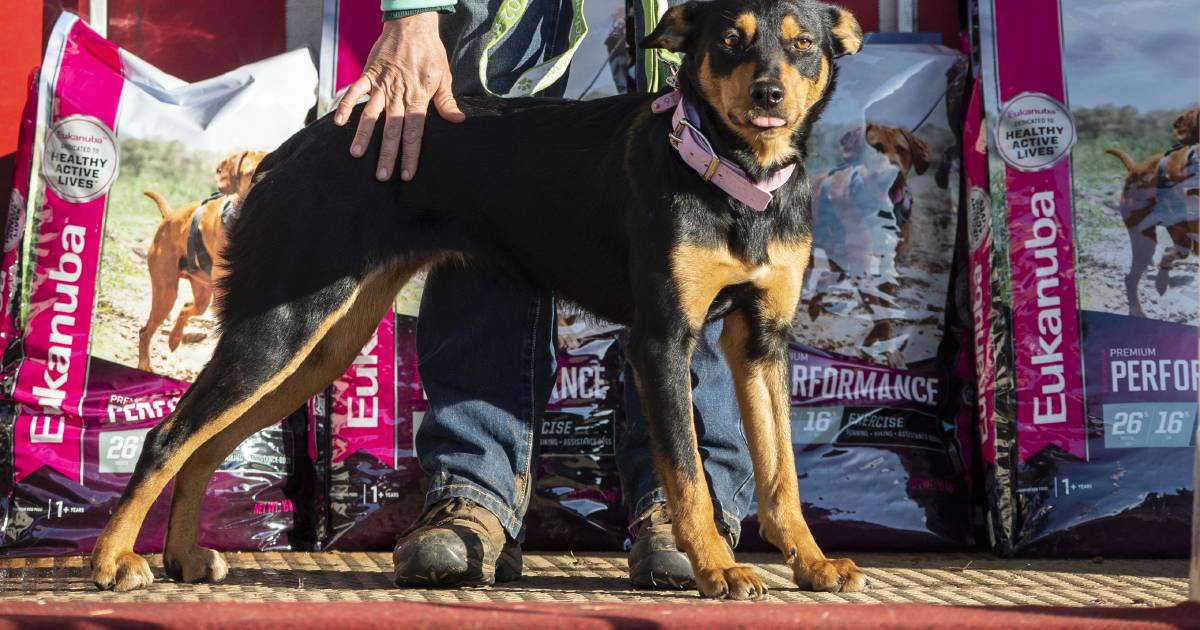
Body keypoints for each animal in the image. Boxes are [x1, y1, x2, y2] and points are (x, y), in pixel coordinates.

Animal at [138, 150, 267, 372]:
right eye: (250, 172)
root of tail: (169, 216)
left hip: (201, 296)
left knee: (187, 307)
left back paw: (174, 339)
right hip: (166, 293)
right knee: (145, 331)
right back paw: (145, 365)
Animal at [806, 121, 936, 362]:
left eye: (902, 150)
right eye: (875, 148)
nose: (895, 175)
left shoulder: (887, 266)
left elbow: (883, 312)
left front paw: (876, 344)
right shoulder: (861, 264)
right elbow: (881, 317)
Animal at [1104, 106, 1200, 319]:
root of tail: (1134, 169)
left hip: (1177, 236)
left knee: (1172, 252)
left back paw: (1161, 282)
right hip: (1143, 240)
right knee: (1131, 278)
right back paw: (1137, 310)